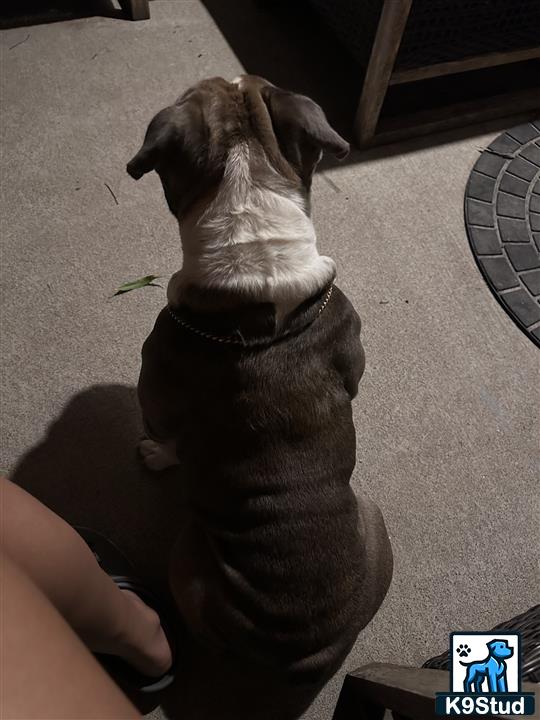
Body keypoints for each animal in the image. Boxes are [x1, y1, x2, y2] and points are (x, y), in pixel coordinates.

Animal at [127, 74, 392, 720]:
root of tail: (303, 653)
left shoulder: (156, 386)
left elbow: (163, 431)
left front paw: (154, 454)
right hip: (375, 522)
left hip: (185, 559)